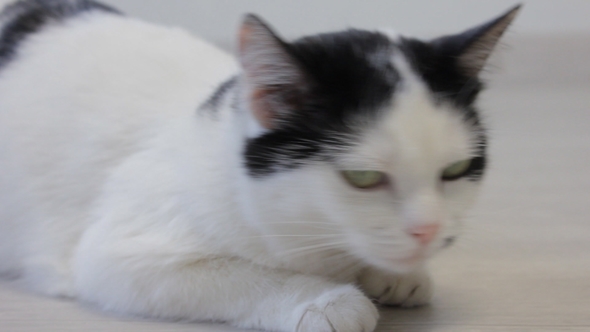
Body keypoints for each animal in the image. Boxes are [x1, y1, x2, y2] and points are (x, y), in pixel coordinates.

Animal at [0, 0, 520, 330]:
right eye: (364, 177)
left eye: (455, 171)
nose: (428, 232)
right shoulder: (117, 255)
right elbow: (238, 275)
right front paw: (323, 299)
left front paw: (394, 275)